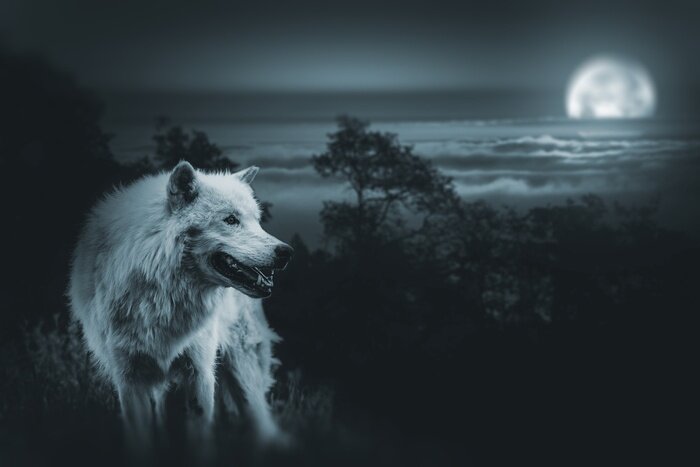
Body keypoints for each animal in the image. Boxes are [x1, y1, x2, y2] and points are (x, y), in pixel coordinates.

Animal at [68, 161, 293, 452]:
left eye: (257, 221)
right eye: (231, 220)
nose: (286, 252)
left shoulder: (200, 374)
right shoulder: (129, 380)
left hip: (243, 373)